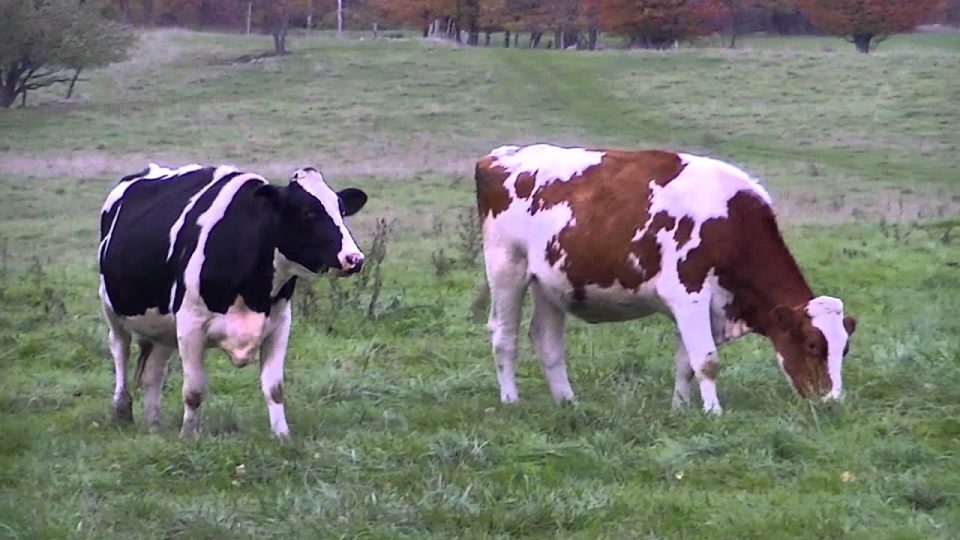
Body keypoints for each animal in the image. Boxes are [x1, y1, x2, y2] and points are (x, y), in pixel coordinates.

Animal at [98, 163, 368, 438]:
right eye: (308, 212)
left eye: (341, 211)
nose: (354, 258)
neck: (253, 293)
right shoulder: (190, 324)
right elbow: (193, 390)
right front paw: (188, 436)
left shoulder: (280, 323)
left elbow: (274, 388)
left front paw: (282, 436)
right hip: (111, 305)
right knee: (120, 348)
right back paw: (122, 409)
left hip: (162, 324)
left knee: (154, 369)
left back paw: (153, 425)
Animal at [475, 144, 857, 413]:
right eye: (812, 345)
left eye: (845, 348)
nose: (833, 402)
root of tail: (500, 155)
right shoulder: (688, 293)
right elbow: (707, 361)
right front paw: (714, 412)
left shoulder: (709, 307)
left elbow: (686, 362)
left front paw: (681, 408)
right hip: (506, 266)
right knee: (504, 336)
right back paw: (511, 400)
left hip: (551, 283)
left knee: (546, 340)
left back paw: (567, 402)